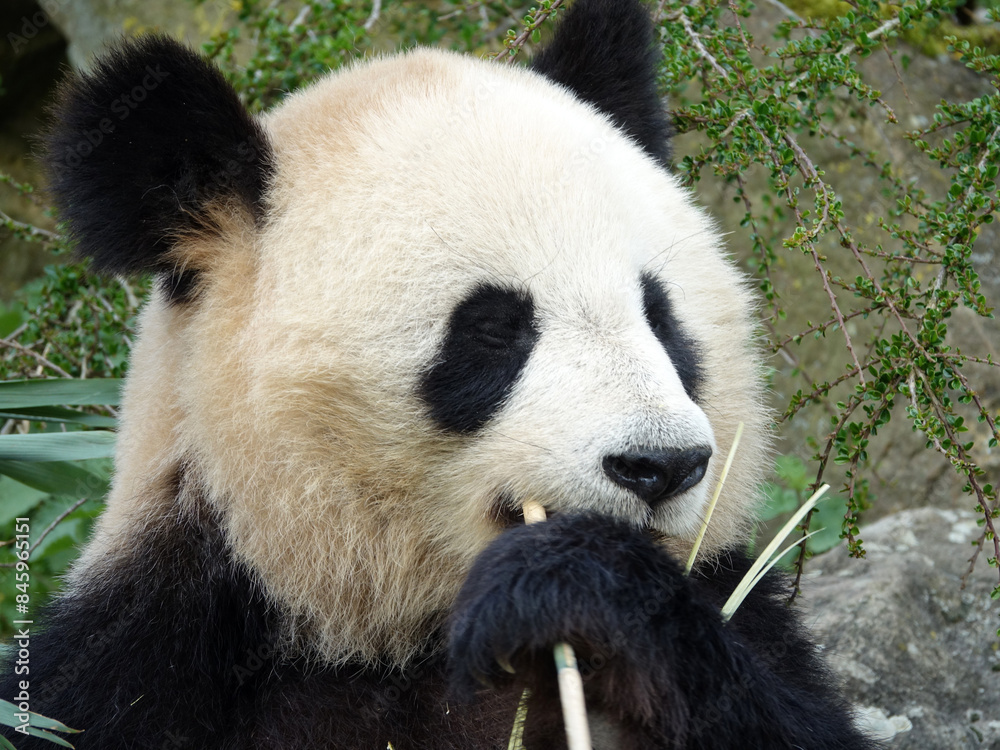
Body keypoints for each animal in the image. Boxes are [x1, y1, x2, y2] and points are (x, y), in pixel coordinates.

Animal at [1, 0, 878, 748]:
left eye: (659, 316)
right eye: (492, 329)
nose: (660, 465)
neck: (390, 627)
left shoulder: (741, 611)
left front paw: (583, 589)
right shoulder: (148, 652)